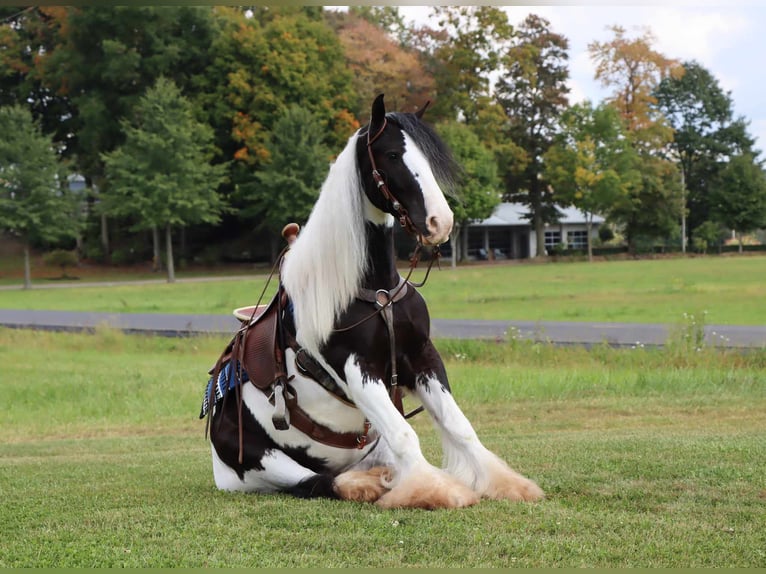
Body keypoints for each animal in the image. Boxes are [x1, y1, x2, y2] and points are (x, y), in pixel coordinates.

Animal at [201, 94, 544, 512]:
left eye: (430, 158)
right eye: (393, 154)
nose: (440, 222)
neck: (375, 291)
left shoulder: (421, 356)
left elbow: (459, 427)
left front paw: (505, 483)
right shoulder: (356, 368)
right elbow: (404, 434)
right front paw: (435, 490)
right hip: (262, 463)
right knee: (318, 481)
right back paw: (367, 485)